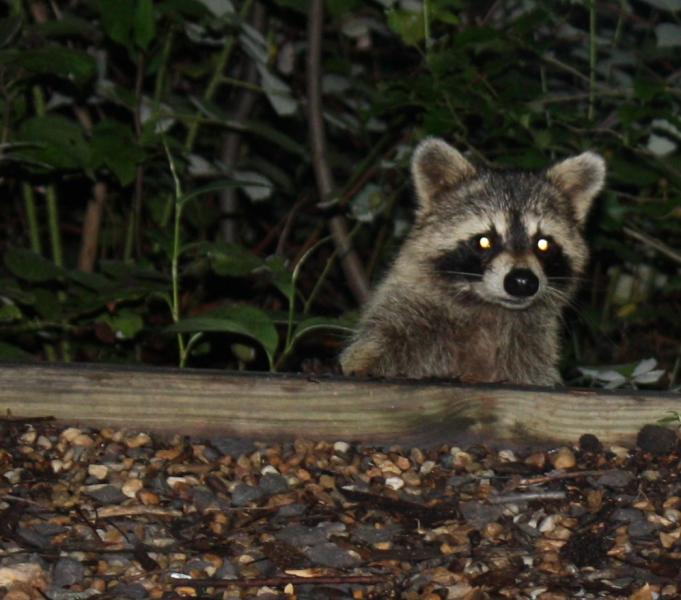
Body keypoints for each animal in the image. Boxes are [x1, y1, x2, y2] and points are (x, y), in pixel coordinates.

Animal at [340, 138, 604, 386]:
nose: (522, 282)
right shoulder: (404, 316)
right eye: (485, 241)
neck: (490, 309)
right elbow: (376, 344)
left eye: (543, 244)